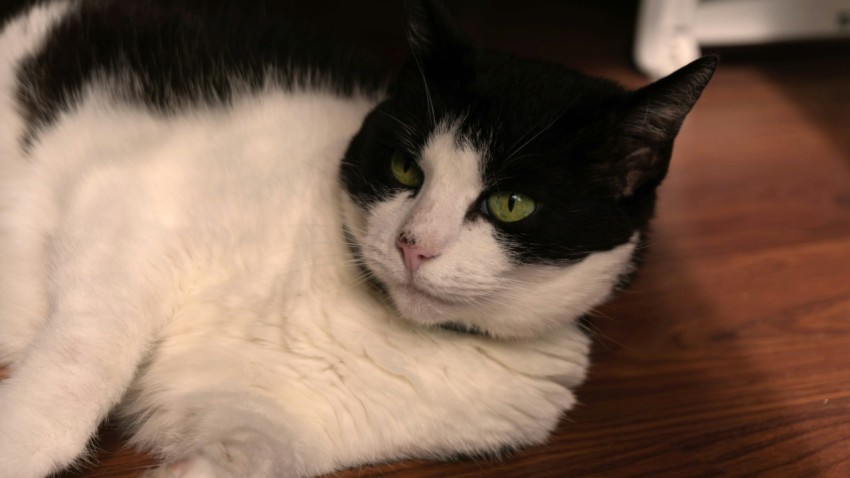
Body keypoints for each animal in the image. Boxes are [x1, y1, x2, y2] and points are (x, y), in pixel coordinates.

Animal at [0, 0, 716, 478]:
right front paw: (20, 442)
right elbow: (80, 367)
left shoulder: (260, 422)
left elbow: (246, 455)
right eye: (404, 169)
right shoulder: (133, 207)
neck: (372, 318)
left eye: (510, 205)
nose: (414, 244)